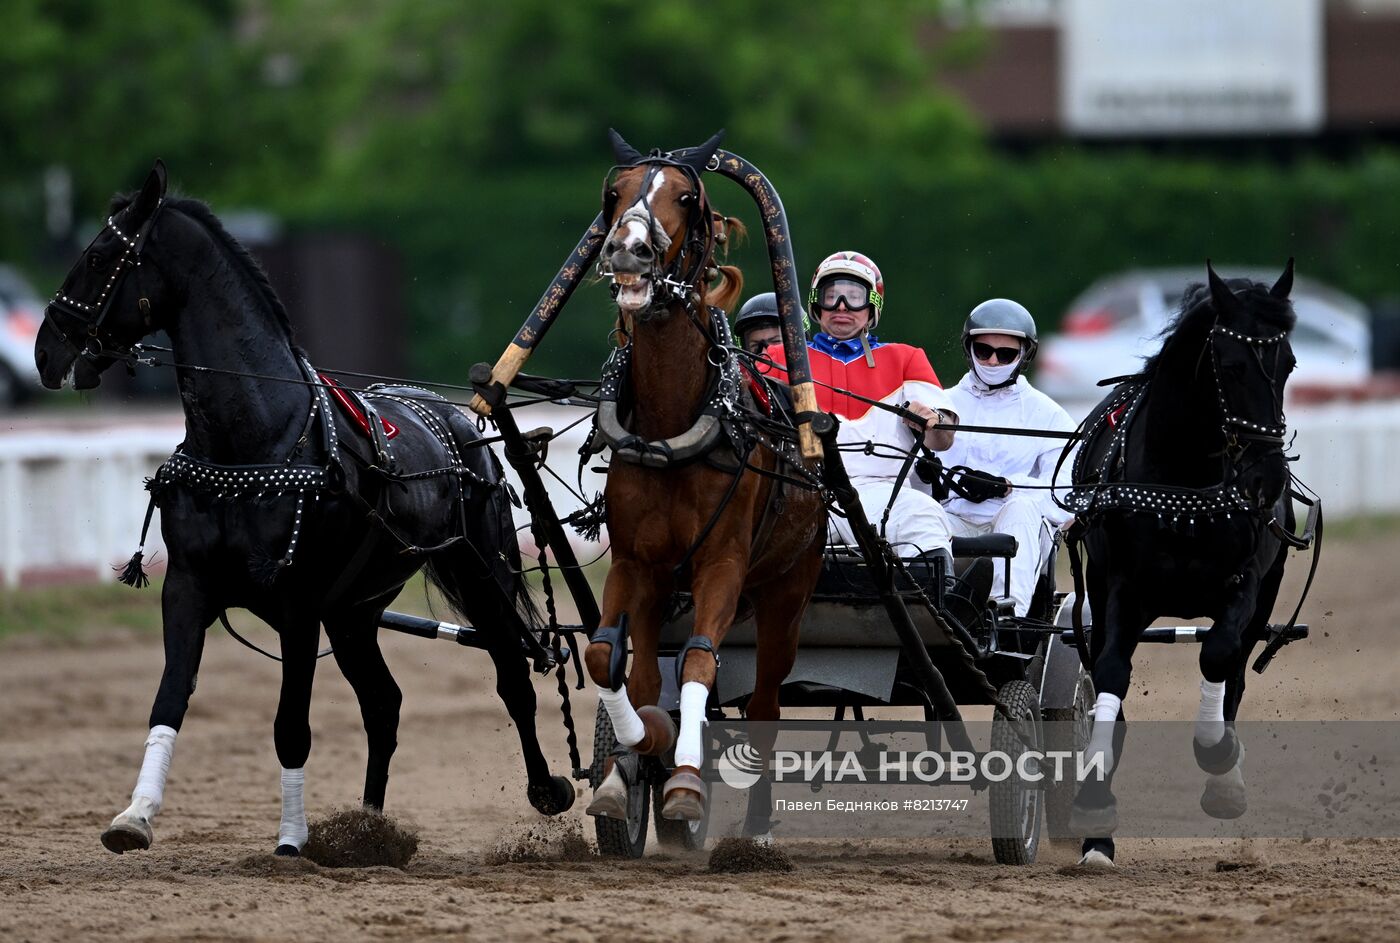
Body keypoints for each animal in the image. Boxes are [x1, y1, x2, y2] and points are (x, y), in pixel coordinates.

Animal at [36, 161, 574, 850]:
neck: (254, 440)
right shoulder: (188, 586)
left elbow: (290, 724)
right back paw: (369, 827)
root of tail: (459, 421)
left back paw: (546, 787)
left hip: (480, 573)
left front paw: (291, 839)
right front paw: (134, 815)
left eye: (100, 255)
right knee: (384, 703)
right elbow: (169, 699)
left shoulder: (297, 603)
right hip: (355, 612)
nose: (45, 350)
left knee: (512, 672)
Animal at [582, 130, 823, 822]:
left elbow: (696, 663)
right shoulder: (638, 563)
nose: (629, 249)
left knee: (767, 701)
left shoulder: (723, 563)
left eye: (686, 198)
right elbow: (610, 658)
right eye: (614, 193)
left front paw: (685, 780)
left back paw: (756, 828)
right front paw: (633, 755)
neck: (671, 425)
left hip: (787, 593)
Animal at [1064, 260, 1304, 861]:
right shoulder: (1122, 587)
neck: (1185, 484)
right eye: (1234, 365)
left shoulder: (1245, 583)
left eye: (1288, 363)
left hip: (1265, 596)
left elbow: (1218, 656)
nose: (1267, 480)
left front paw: (1220, 764)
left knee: (1235, 669)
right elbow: (1110, 671)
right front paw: (1095, 812)